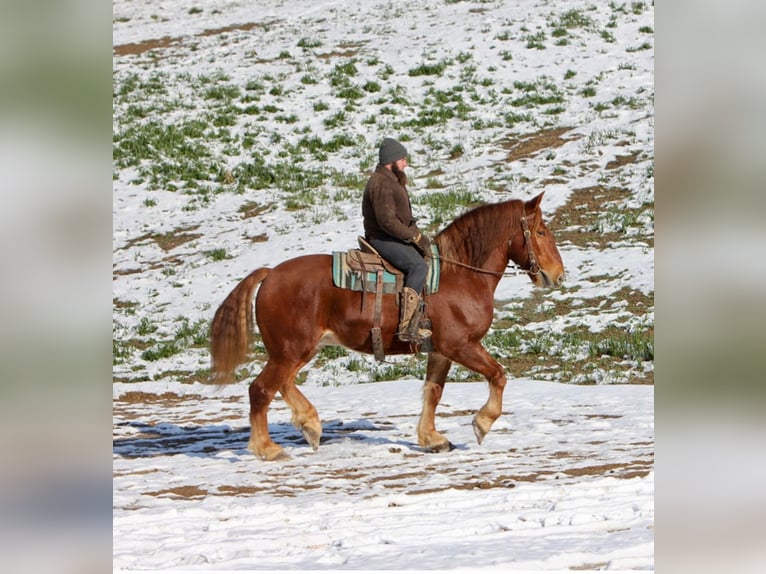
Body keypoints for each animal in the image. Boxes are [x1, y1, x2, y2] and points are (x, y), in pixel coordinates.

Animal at [209, 191, 565, 460]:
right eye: (541, 232)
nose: (558, 275)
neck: (460, 275)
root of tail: (270, 274)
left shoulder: (441, 351)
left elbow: (433, 392)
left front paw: (432, 438)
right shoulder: (461, 346)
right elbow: (498, 375)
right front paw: (482, 423)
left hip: (296, 351)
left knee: (281, 384)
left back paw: (309, 424)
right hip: (290, 351)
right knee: (261, 389)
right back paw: (268, 448)